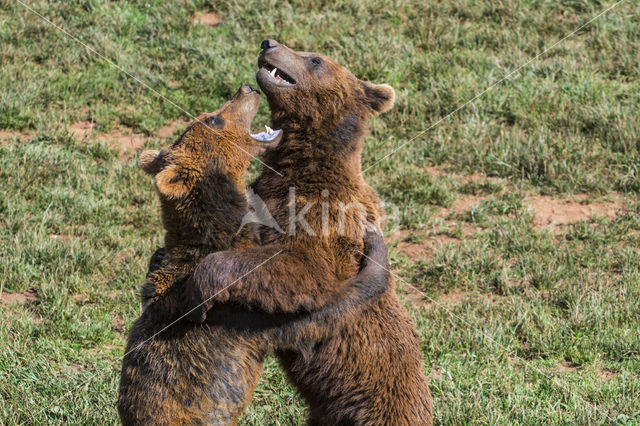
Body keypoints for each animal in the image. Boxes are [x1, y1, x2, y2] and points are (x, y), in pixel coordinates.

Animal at [185, 41, 436, 424]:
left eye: (314, 59)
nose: (269, 43)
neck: (302, 164)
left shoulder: (325, 219)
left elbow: (302, 269)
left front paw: (201, 288)